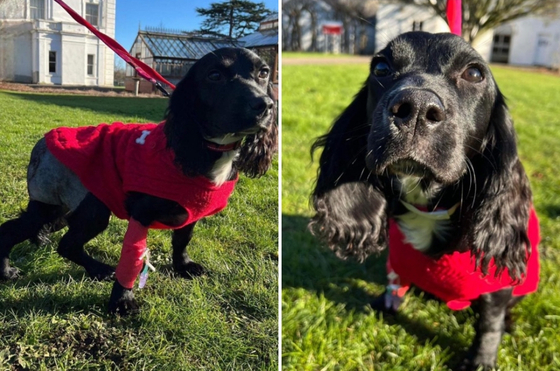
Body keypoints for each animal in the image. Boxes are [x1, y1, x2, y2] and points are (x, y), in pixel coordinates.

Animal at [0, 48, 276, 316]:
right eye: (215, 75)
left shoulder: (192, 213)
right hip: (86, 208)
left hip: (63, 208)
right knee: (35, 237)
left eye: (264, 72)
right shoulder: (141, 216)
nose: (265, 105)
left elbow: (182, 241)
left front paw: (183, 266)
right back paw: (10, 271)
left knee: (59, 240)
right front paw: (122, 300)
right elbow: (132, 259)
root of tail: (43, 142)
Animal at [310, 32, 540, 371]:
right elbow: (394, 283)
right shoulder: (398, 259)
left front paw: (481, 360)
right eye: (381, 67)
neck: (428, 206)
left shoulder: (495, 288)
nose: (415, 107)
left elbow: (490, 322)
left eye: (474, 73)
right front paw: (385, 304)